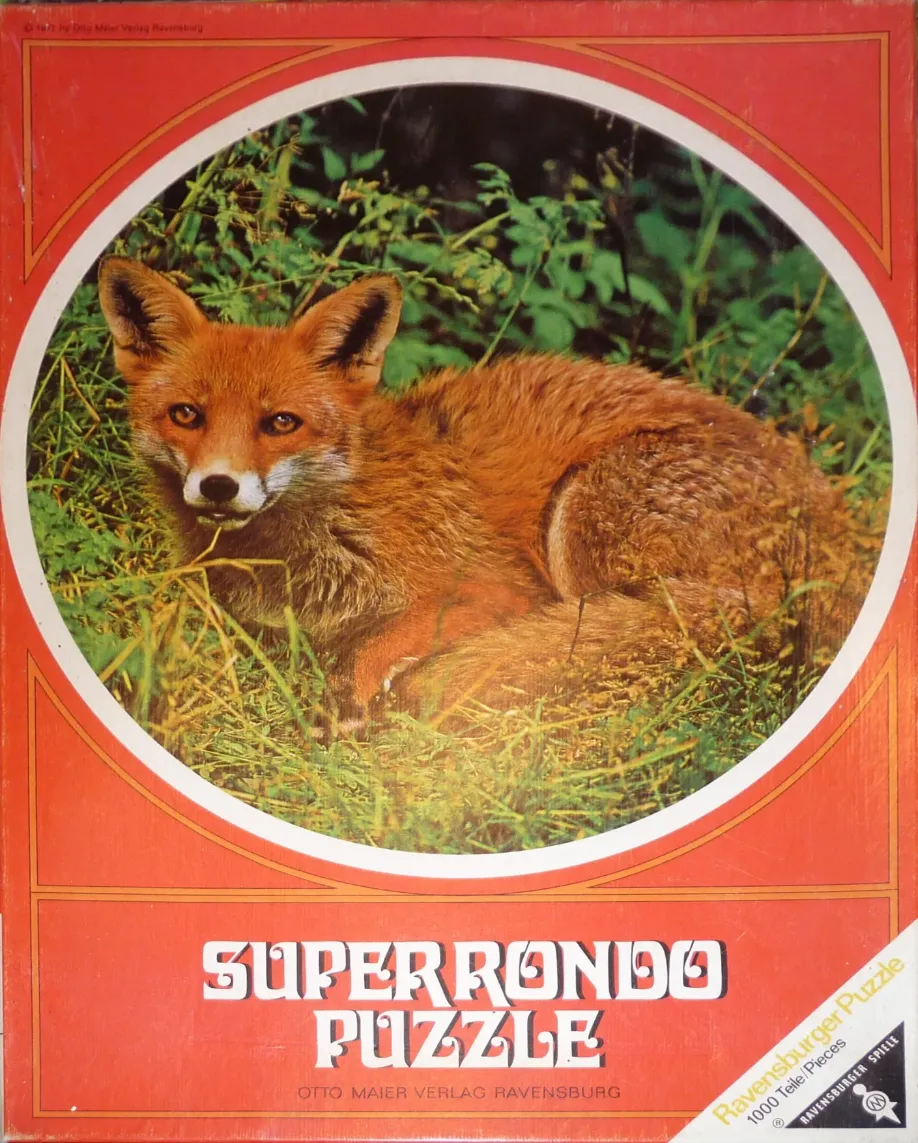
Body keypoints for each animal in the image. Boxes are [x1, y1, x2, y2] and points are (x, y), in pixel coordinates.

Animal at [98, 256, 867, 730]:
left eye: (280, 423)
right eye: (187, 415)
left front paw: (355, 697)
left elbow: (374, 645)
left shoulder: (498, 591)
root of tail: (843, 545)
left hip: (582, 522)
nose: (218, 485)